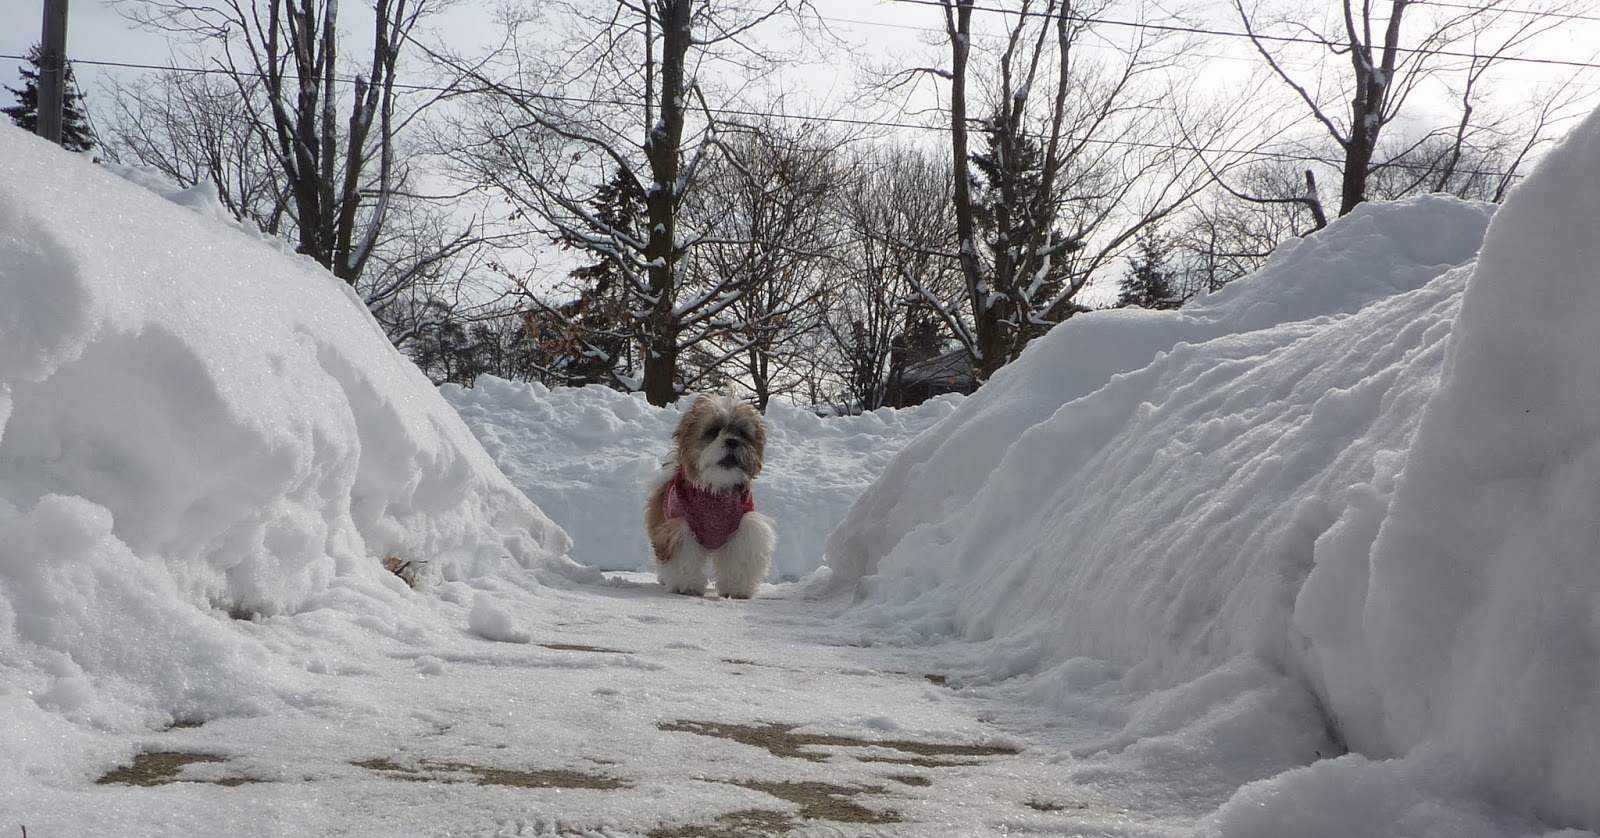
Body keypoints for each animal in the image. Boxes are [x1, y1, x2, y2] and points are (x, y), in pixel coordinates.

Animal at [644, 394, 776, 599]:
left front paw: (737, 589)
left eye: (742, 433)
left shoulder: (744, 528)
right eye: (713, 431)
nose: (732, 441)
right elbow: (685, 557)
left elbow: (739, 559)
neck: (715, 490)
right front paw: (687, 585)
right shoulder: (680, 526)